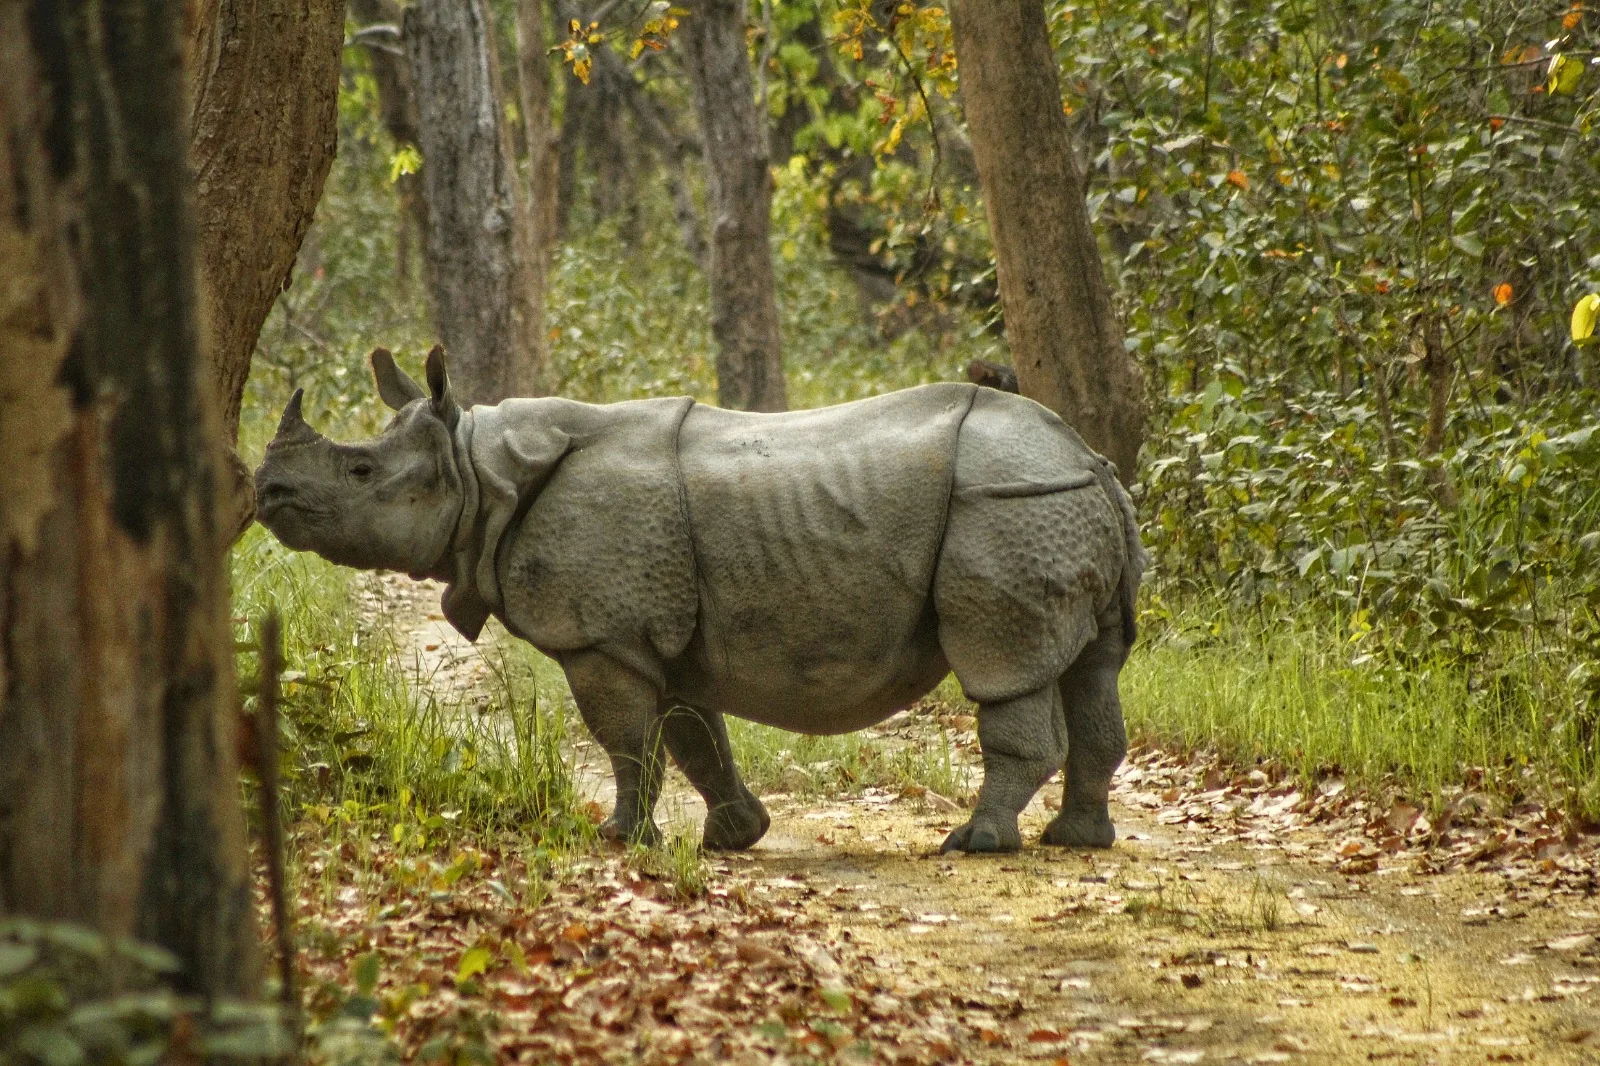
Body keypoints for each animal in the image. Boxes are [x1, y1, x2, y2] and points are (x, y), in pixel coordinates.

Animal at [253, 346, 1145, 854]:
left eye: (361, 471)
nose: (266, 493)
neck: (477, 471)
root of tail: (1088, 458)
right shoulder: (661, 635)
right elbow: (693, 737)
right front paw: (734, 838)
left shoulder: (601, 635)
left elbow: (626, 739)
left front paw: (620, 840)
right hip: (1051, 502)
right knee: (1096, 667)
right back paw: (1079, 841)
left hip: (1007, 505)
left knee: (1006, 666)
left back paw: (975, 843)